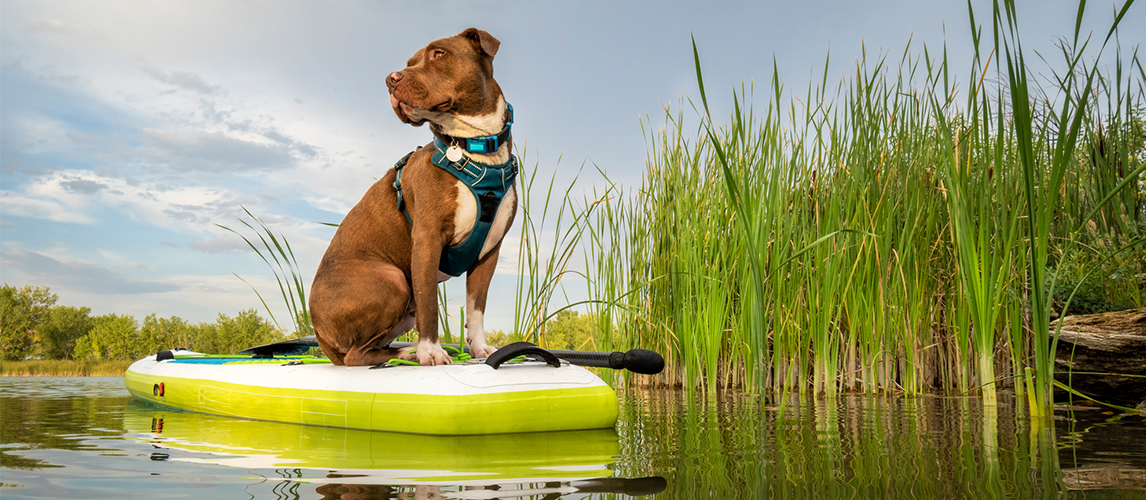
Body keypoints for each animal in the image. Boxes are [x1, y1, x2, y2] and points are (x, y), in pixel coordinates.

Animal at [309, 29, 515, 366]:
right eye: (409, 63)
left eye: (439, 54)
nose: (390, 79)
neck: (475, 149)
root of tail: (320, 335)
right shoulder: (427, 242)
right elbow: (430, 306)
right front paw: (431, 352)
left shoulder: (489, 253)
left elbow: (477, 310)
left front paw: (481, 350)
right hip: (392, 277)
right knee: (356, 355)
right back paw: (409, 352)